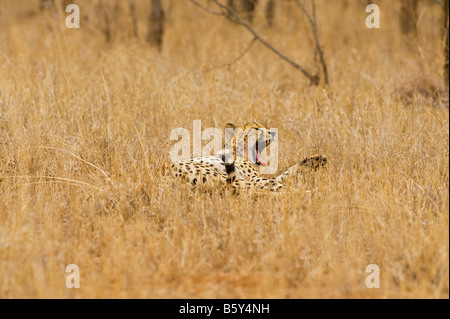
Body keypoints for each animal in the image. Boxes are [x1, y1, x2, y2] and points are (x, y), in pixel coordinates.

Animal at [163, 120, 326, 191]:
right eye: (256, 128)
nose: (272, 132)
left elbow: (287, 172)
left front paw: (316, 160)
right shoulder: (254, 178)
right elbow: (278, 181)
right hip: (232, 179)